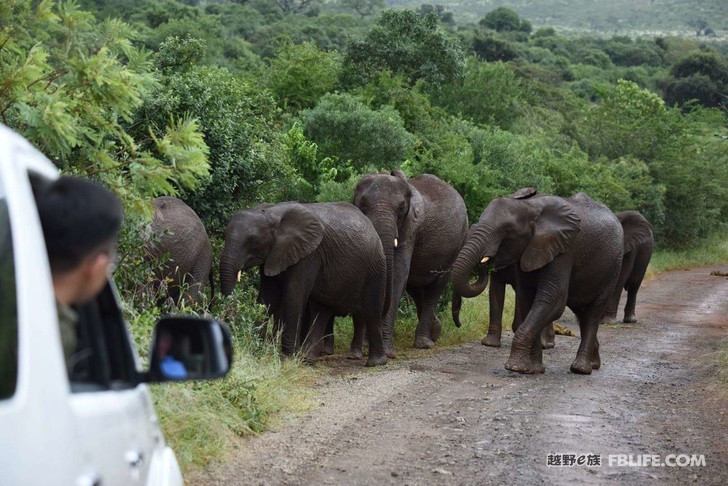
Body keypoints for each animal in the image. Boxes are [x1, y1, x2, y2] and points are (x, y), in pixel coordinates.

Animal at [219, 199, 390, 366]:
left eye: (253, 241)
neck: (271, 212)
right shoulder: (274, 254)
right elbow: (267, 297)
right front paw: (256, 351)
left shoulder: (309, 255)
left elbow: (294, 294)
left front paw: (287, 359)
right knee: (322, 311)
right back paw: (307, 358)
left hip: (375, 267)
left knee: (371, 312)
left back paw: (375, 362)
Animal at [352, 171, 466, 356]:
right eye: (362, 204)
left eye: (401, 208)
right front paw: (368, 345)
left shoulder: (410, 228)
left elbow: (398, 275)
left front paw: (387, 352)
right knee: (416, 288)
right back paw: (435, 331)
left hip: (457, 244)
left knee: (435, 289)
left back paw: (424, 343)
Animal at [452, 188, 624, 374]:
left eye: (507, 229)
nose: (485, 262)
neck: (530, 206)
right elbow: (526, 298)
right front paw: (534, 369)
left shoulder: (564, 249)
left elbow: (553, 299)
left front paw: (514, 367)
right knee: (582, 313)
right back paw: (594, 364)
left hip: (613, 267)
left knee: (593, 312)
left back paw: (581, 369)